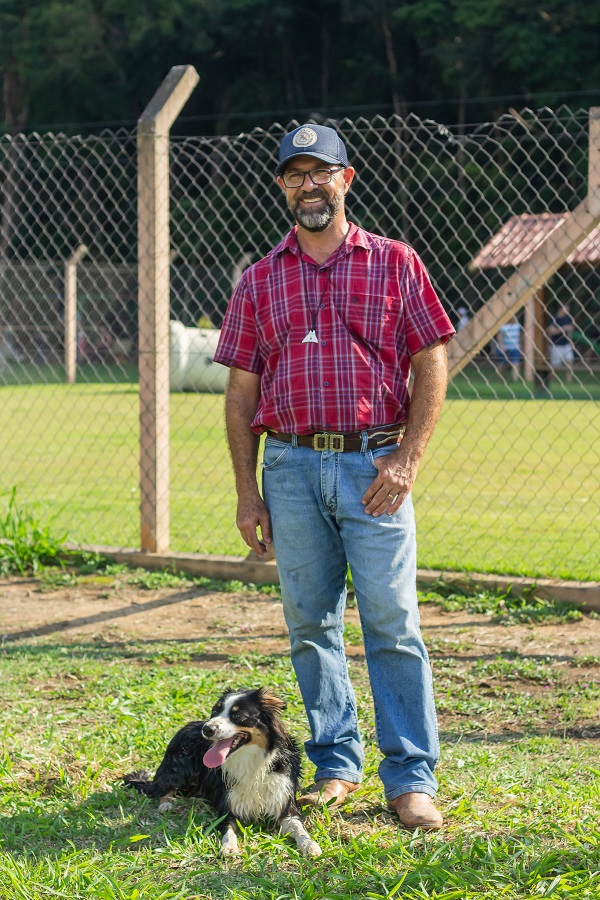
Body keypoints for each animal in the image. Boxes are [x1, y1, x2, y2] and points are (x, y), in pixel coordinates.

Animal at [123, 687, 321, 857]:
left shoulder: (284, 804)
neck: (251, 760)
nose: (207, 729)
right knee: (163, 788)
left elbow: (299, 828)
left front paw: (310, 845)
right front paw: (229, 847)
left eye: (238, 715)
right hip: (177, 768)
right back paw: (166, 803)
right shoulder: (227, 807)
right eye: (214, 711)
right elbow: (229, 829)